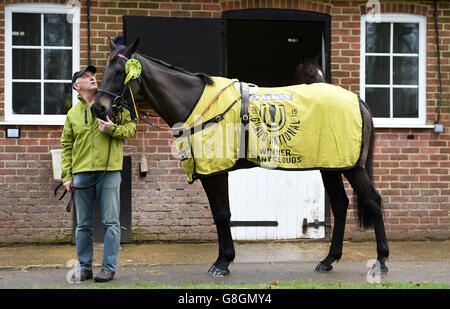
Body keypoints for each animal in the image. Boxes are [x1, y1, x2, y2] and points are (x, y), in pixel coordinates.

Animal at [93, 38, 388, 276]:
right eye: (103, 70)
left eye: (119, 72)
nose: (98, 108)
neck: (195, 102)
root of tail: (358, 101)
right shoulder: (208, 172)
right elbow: (217, 214)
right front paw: (222, 259)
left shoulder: (217, 172)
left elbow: (224, 214)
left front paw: (223, 263)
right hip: (331, 166)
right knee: (340, 204)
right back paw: (328, 261)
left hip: (352, 167)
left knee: (373, 201)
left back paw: (381, 261)